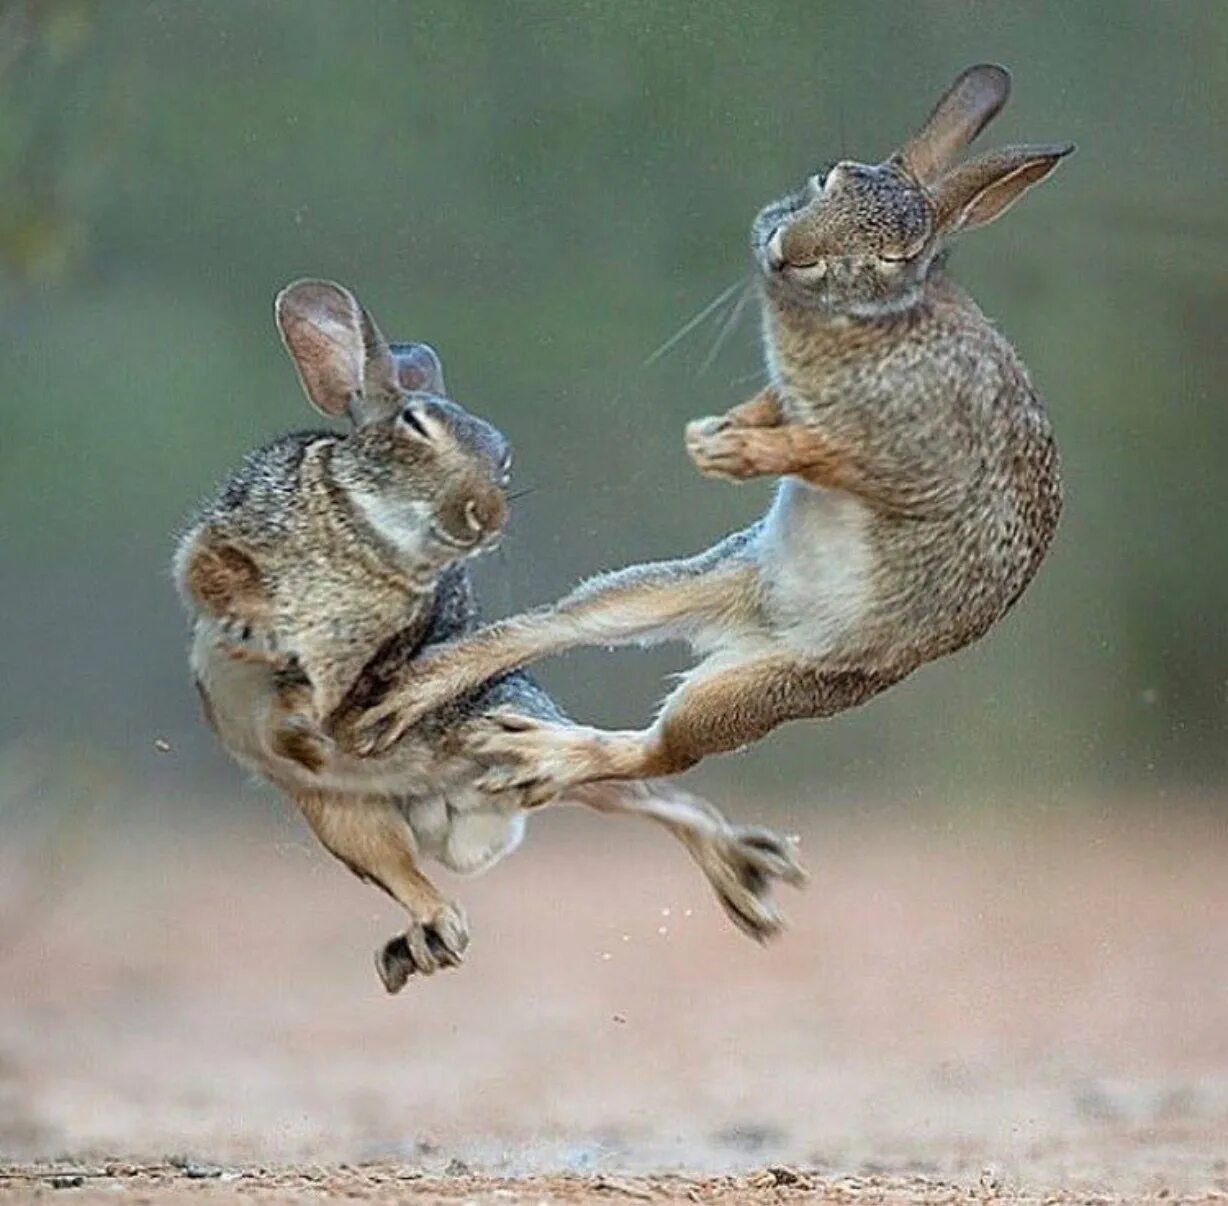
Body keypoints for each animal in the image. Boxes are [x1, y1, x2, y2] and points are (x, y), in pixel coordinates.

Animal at [173, 281, 805, 992]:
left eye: (503, 457)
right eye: (414, 425)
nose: (485, 515)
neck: (366, 534)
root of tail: (463, 818)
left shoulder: (381, 656)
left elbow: (342, 688)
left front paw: (304, 717)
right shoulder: (224, 544)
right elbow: (215, 576)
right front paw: (259, 636)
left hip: (503, 737)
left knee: (655, 796)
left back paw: (750, 875)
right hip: (343, 815)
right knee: (413, 877)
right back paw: (424, 944)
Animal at [331, 63, 1070, 800]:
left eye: (899, 256)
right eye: (827, 177)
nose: (786, 251)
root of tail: (745, 624)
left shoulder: (915, 456)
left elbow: (831, 454)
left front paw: (736, 451)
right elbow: (779, 409)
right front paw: (718, 434)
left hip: (764, 687)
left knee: (663, 753)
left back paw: (537, 753)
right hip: (678, 583)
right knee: (560, 624)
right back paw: (414, 693)